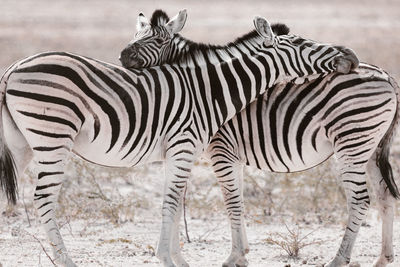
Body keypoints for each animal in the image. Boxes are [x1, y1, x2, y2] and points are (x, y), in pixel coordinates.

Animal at [0, 10, 356, 267]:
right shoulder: (184, 146)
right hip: (53, 137)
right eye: (302, 44)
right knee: (44, 197)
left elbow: (173, 199)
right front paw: (168, 259)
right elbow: (172, 202)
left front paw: (178, 258)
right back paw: (66, 261)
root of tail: (13, 67)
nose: (350, 57)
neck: (208, 91)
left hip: (20, 145)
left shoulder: (178, 152)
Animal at [120, 8, 398, 267]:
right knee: (385, 195)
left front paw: (234, 256)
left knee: (360, 200)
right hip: (370, 148)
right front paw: (243, 252)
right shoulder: (225, 155)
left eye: (156, 40)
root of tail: (387, 75)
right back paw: (383, 258)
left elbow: (231, 201)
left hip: (352, 142)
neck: (204, 89)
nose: (121, 57)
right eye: (135, 35)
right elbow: (236, 200)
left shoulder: (221, 151)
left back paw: (339, 259)